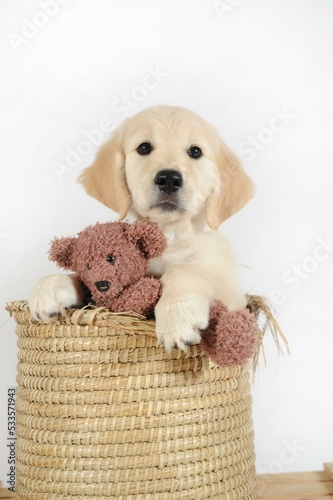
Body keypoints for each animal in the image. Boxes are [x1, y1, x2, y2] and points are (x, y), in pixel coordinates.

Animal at [28, 105, 253, 350]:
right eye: (144, 148)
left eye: (195, 152)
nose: (168, 179)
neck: (167, 234)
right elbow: (83, 278)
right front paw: (53, 284)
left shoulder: (232, 292)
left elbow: (184, 268)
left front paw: (177, 316)